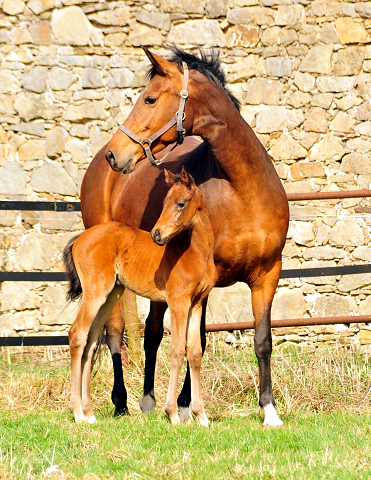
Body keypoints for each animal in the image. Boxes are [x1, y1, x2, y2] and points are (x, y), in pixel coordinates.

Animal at [62, 169, 217, 424]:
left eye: (180, 203)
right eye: (164, 202)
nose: (157, 234)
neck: (196, 253)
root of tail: (80, 240)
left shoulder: (197, 303)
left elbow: (194, 353)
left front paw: (201, 416)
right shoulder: (178, 302)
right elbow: (177, 351)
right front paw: (173, 414)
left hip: (111, 295)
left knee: (91, 341)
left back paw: (89, 413)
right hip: (96, 293)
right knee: (77, 334)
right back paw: (76, 412)